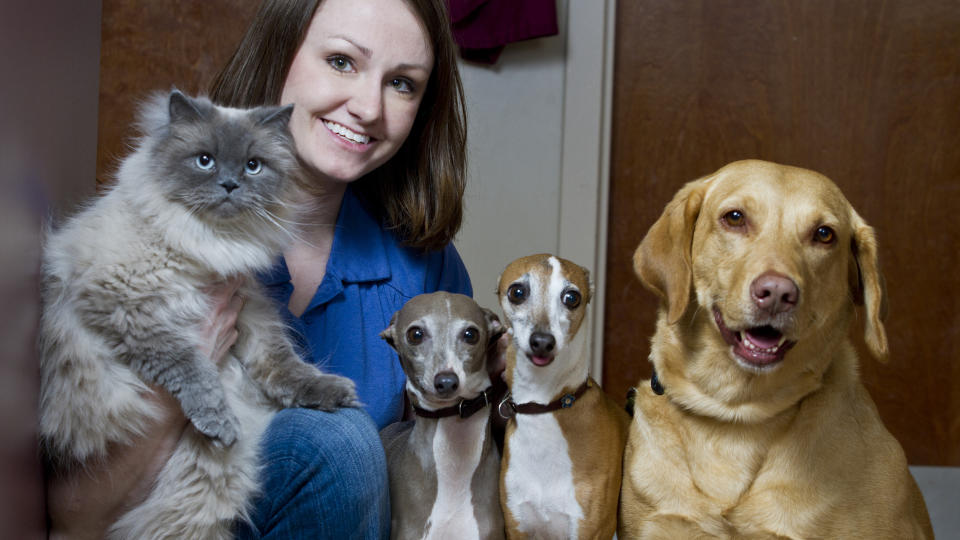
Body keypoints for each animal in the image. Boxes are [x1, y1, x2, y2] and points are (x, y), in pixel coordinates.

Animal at [39, 90, 358, 536]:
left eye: (253, 166)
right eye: (204, 161)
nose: (229, 184)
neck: (213, 242)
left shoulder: (250, 309)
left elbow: (283, 364)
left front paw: (330, 392)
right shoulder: (128, 308)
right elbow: (192, 368)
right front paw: (219, 423)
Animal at [496, 254, 632, 540]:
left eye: (572, 297)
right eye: (517, 292)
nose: (542, 342)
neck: (545, 406)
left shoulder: (590, 529)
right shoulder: (517, 525)